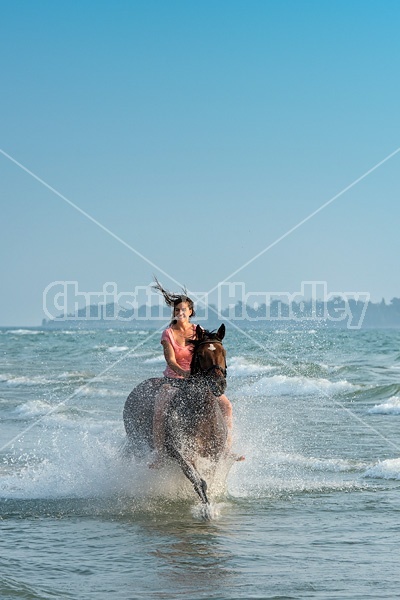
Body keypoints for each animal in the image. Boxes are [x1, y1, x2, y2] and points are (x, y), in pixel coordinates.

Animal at [122, 324, 228, 510]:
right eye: (200, 355)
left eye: (224, 352)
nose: (218, 385)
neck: (200, 415)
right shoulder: (181, 453)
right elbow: (198, 481)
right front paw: (206, 510)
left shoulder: (214, 456)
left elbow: (209, 477)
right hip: (138, 444)